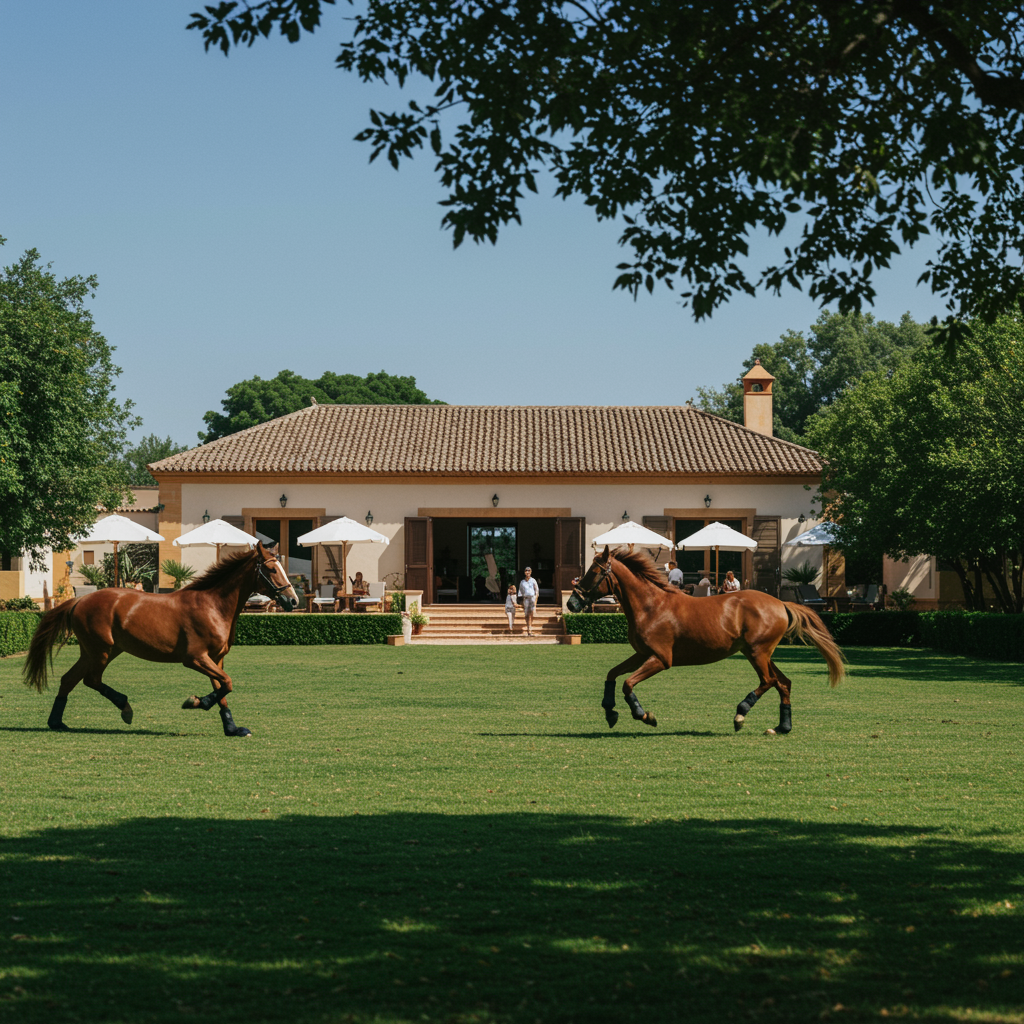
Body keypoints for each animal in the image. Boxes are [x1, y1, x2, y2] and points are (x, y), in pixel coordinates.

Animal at [23, 541, 298, 737]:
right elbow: (227, 684)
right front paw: (196, 702)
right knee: (90, 680)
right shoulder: (196, 658)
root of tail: (80, 600)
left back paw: (57, 721)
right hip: (100, 651)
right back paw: (124, 707)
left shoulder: (216, 659)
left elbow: (223, 690)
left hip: (98, 652)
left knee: (70, 679)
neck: (213, 606)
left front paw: (231, 728)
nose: (293, 601)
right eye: (271, 569)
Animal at [567, 546, 844, 735]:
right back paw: (781, 727)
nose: (571, 603)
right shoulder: (642, 654)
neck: (651, 606)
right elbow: (612, 674)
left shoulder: (661, 659)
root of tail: (780, 603)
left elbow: (627, 684)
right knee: (783, 683)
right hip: (759, 653)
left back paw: (740, 714)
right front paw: (610, 711)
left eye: (594, 571)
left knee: (768, 681)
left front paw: (644, 715)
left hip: (758, 653)